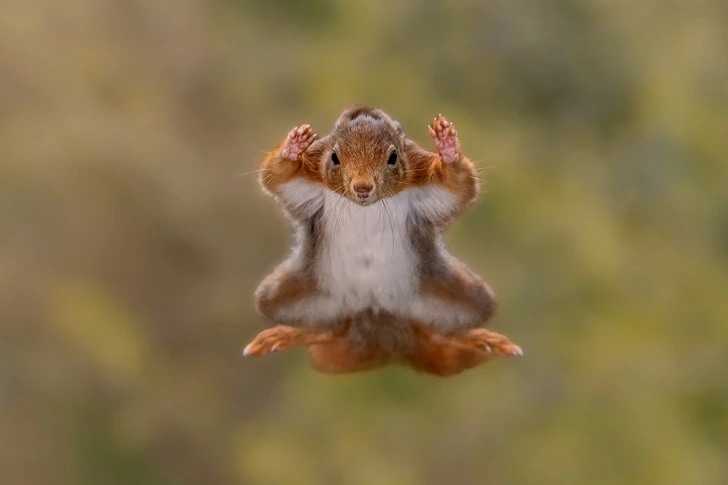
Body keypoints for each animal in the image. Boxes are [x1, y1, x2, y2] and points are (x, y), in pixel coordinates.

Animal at [243, 105, 522, 376]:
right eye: (334, 157)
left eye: (393, 157)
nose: (362, 188)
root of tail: (379, 323)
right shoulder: (309, 181)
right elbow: (277, 178)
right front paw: (292, 149)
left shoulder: (422, 180)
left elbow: (458, 188)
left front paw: (448, 149)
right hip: (292, 294)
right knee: (327, 328)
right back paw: (291, 333)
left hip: (460, 294)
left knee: (439, 332)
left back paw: (477, 338)